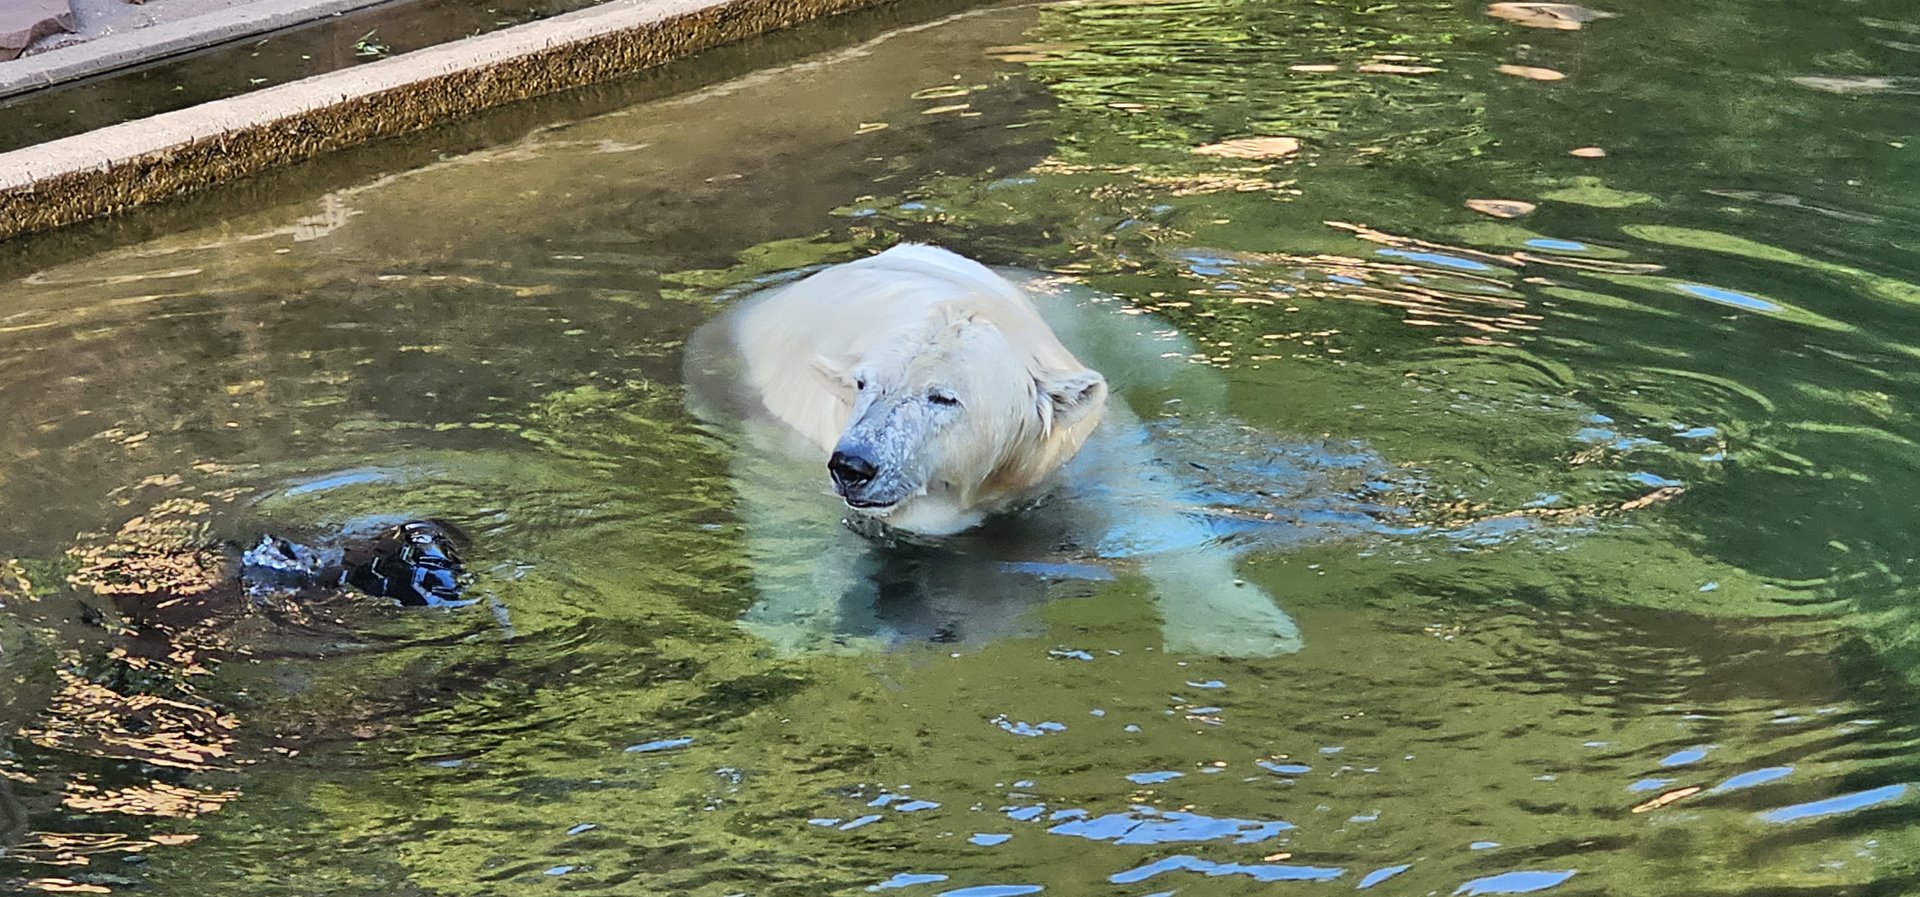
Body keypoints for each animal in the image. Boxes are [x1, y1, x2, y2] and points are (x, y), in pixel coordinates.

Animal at [684, 244, 1307, 657]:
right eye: (864, 385)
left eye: (943, 397)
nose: (853, 466)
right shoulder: (787, 444)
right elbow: (790, 524)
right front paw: (796, 623)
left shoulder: (1073, 447)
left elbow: (1150, 511)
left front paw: (1243, 631)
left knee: (1172, 359)